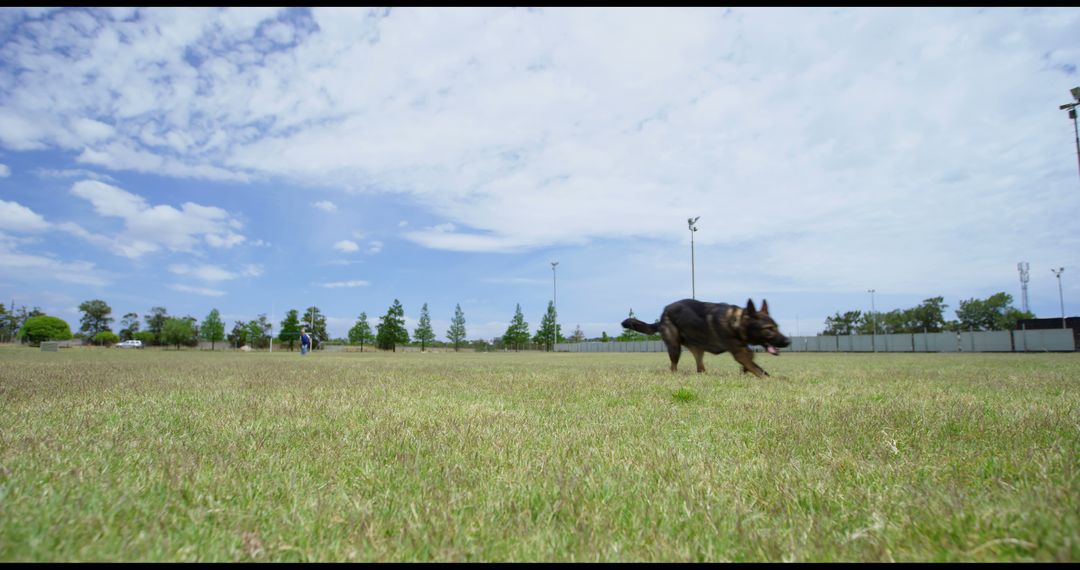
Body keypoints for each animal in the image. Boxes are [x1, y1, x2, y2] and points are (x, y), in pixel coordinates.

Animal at [622, 300, 790, 375]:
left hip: (698, 349)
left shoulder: (744, 352)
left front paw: (745, 373)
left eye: (776, 327)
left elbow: (751, 363)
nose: (788, 341)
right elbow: (761, 371)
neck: (735, 322)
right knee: (673, 366)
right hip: (675, 347)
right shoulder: (740, 354)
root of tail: (662, 316)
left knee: (700, 367)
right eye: (769, 329)